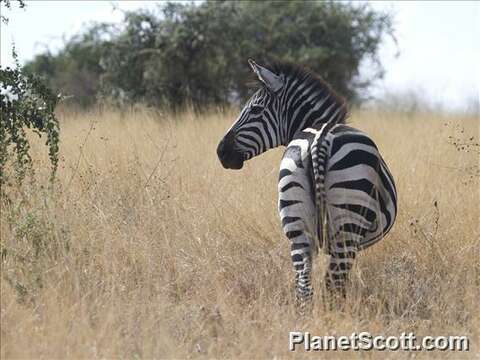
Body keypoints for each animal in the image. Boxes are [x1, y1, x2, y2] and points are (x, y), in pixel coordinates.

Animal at [218, 59, 398, 312]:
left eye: (255, 110)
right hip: (346, 224)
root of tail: (321, 136)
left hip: (296, 223)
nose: (220, 152)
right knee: (334, 285)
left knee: (305, 285)